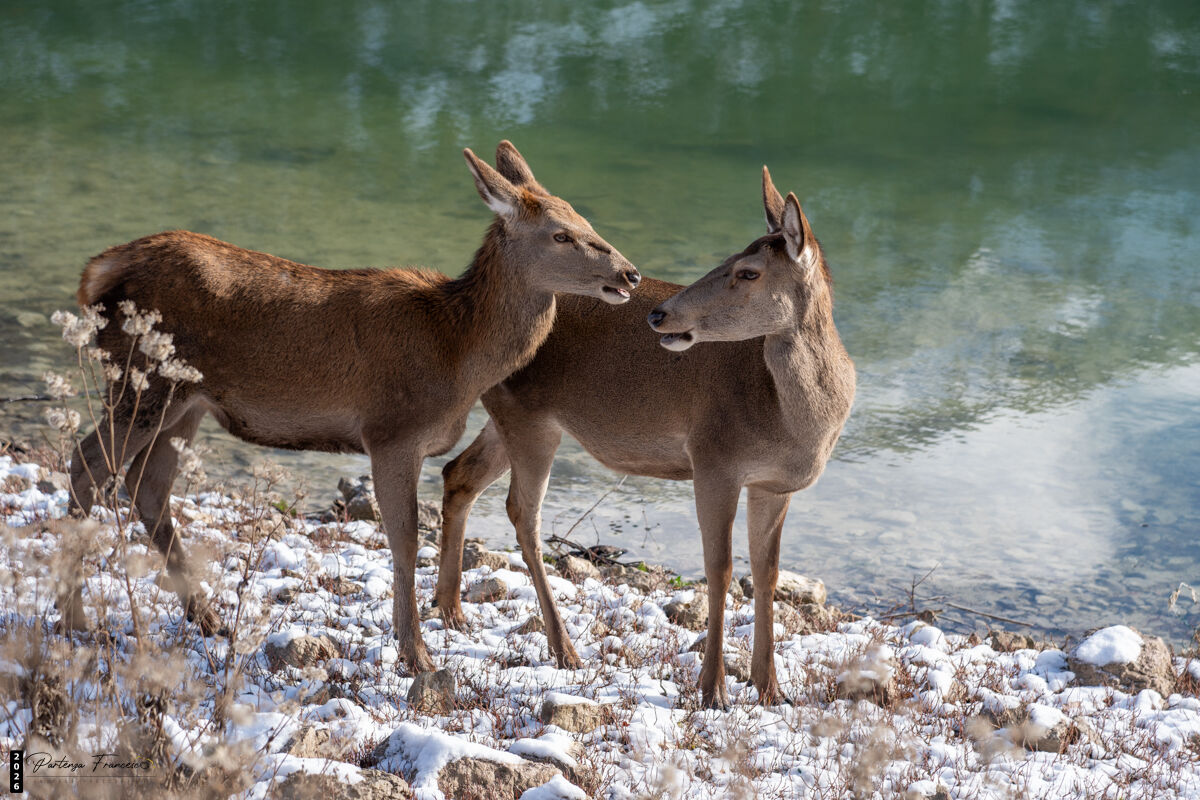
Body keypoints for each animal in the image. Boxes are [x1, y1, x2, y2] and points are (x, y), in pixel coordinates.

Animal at [58, 141, 641, 675]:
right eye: (560, 234)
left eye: (587, 221)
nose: (630, 274)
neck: (457, 352)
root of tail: (96, 271)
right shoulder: (391, 431)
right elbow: (404, 538)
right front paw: (416, 655)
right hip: (143, 380)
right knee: (87, 465)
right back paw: (74, 619)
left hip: (186, 401)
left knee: (148, 486)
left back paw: (208, 618)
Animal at [437, 167, 855, 708]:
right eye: (726, 259)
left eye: (748, 271)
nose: (659, 314)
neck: (796, 424)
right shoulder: (713, 457)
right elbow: (720, 568)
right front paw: (713, 690)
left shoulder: (775, 485)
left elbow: (768, 573)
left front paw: (770, 690)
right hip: (528, 417)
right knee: (523, 513)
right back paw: (563, 649)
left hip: (511, 415)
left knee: (458, 473)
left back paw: (450, 610)